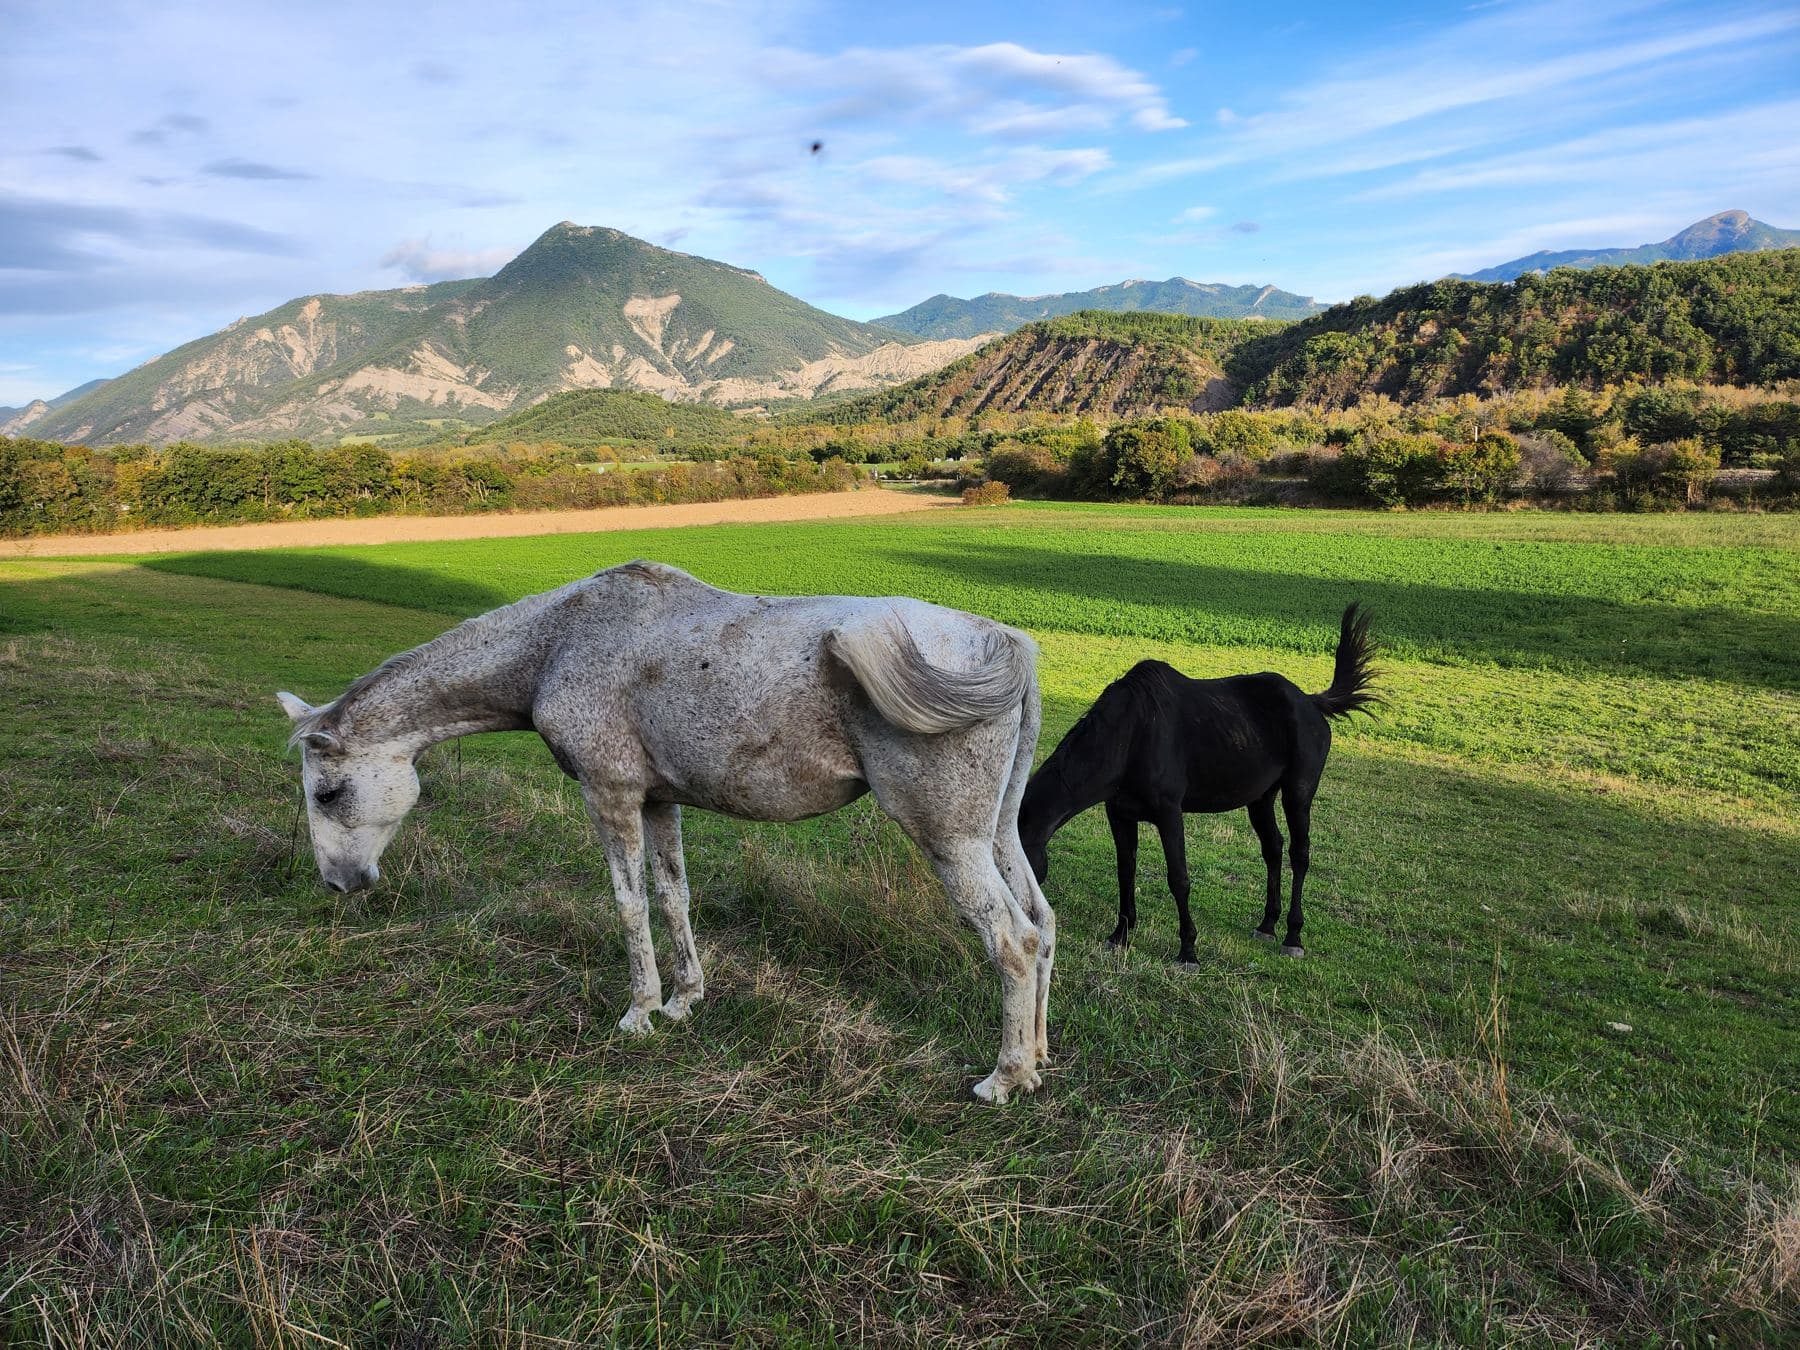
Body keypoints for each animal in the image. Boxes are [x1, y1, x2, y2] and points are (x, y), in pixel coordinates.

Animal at [276, 561, 1055, 1104]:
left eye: (327, 791)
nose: (338, 883)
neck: (559, 643)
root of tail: (1003, 640)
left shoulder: (611, 797)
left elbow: (628, 904)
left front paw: (640, 1011)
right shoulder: (658, 803)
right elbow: (673, 896)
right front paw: (685, 1000)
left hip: (950, 841)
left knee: (1012, 941)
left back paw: (1003, 1078)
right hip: (997, 834)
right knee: (1043, 925)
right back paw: (1039, 1058)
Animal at [1017, 604, 1377, 963]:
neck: (1130, 737)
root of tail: (1310, 703)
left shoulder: (1169, 814)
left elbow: (1179, 878)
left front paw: (1188, 950)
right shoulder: (1119, 814)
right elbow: (1125, 871)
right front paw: (1120, 935)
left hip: (1297, 794)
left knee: (1299, 854)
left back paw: (1293, 936)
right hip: (1261, 798)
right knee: (1273, 848)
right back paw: (1266, 925)